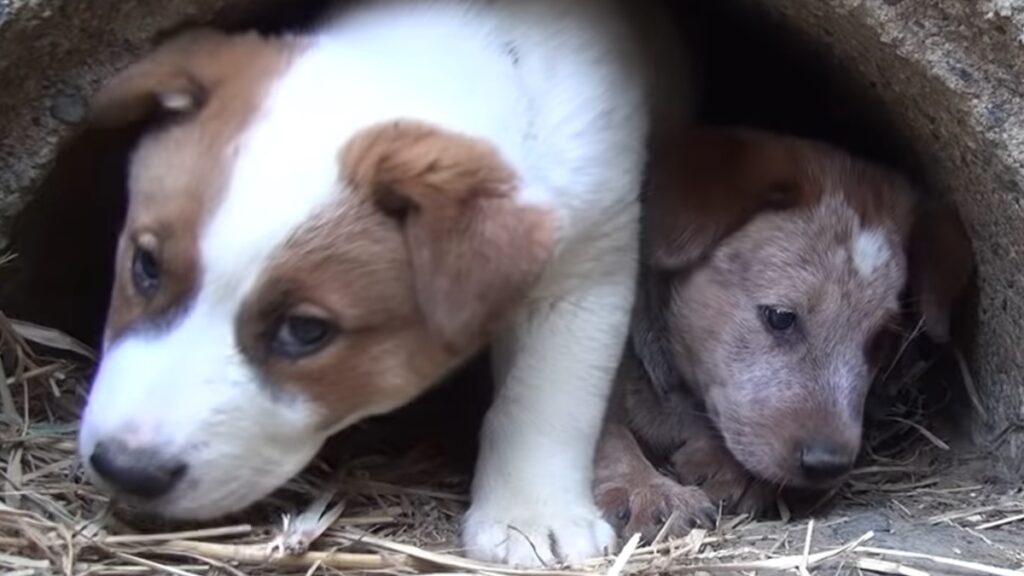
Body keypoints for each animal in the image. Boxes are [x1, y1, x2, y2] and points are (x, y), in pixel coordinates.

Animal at [75, 1, 684, 565]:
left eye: (305, 330)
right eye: (146, 266)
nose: (126, 469)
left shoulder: (588, 266)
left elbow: (544, 401)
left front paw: (533, 518)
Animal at [593, 127, 966, 541]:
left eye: (880, 340)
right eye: (781, 317)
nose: (827, 464)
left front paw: (727, 467)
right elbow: (600, 433)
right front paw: (646, 489)